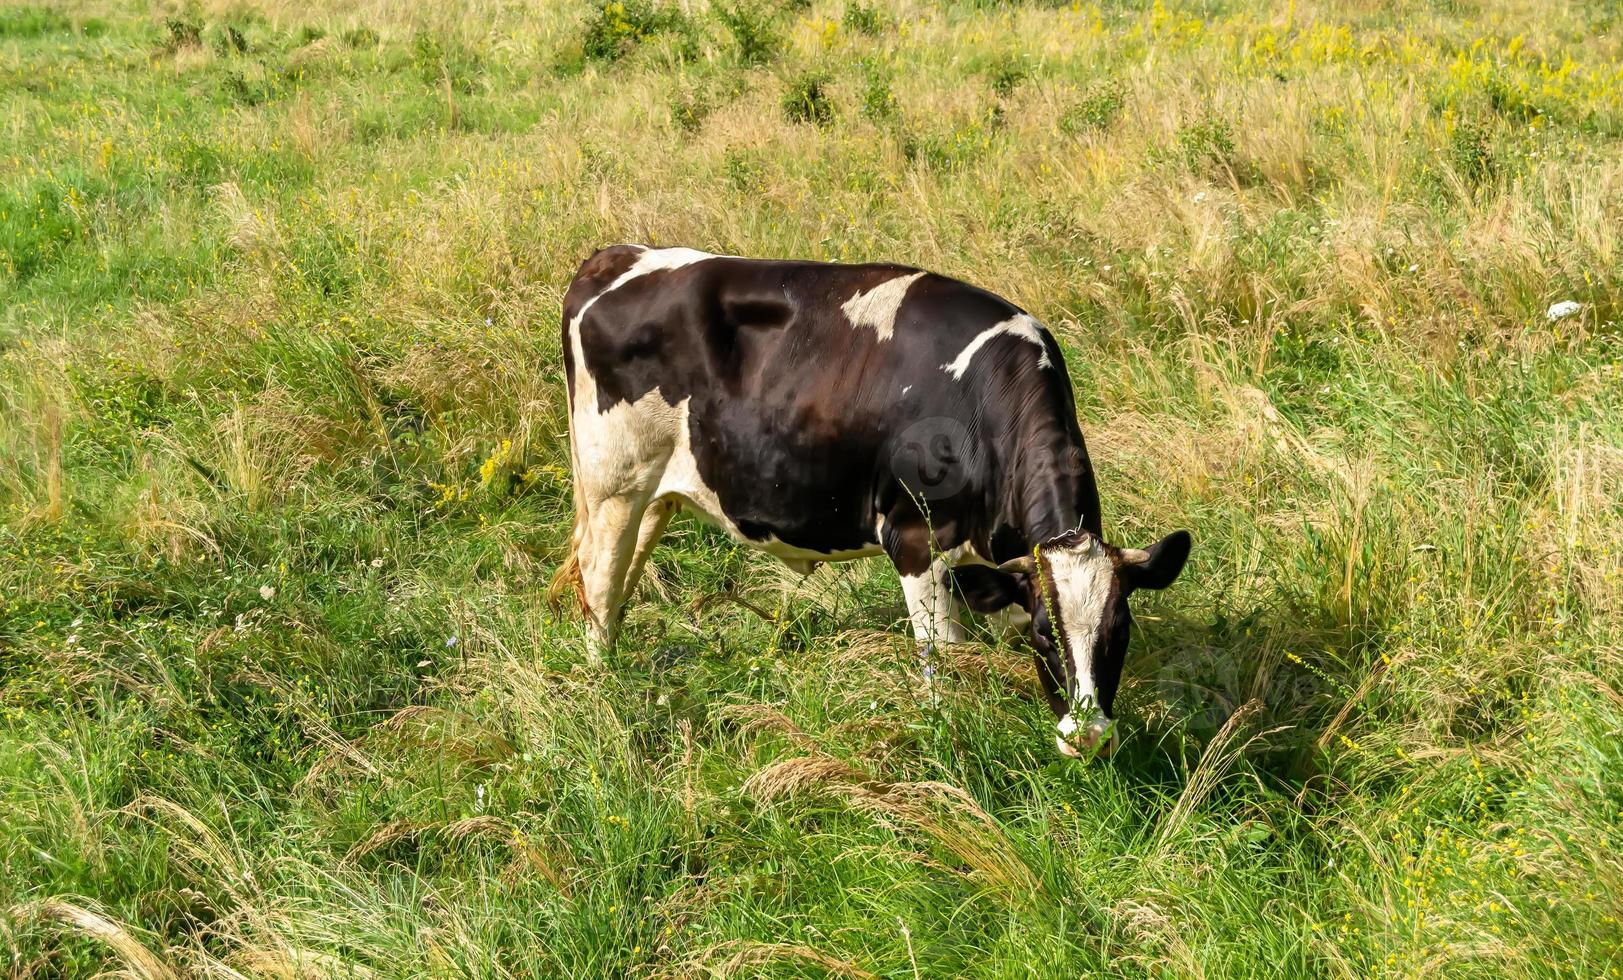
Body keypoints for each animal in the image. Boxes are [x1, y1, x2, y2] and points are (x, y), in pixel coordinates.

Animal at [558, 246, 1194, 759]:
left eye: (1120, 633)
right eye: (1047, 634)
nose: (1088, 737)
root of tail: (618, 256)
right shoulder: (916, 541)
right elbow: (942, 661)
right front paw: (947, 740)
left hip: (652, 492)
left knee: (620, 577)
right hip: (612, 480)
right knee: (598, 577)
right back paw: (604, 683)